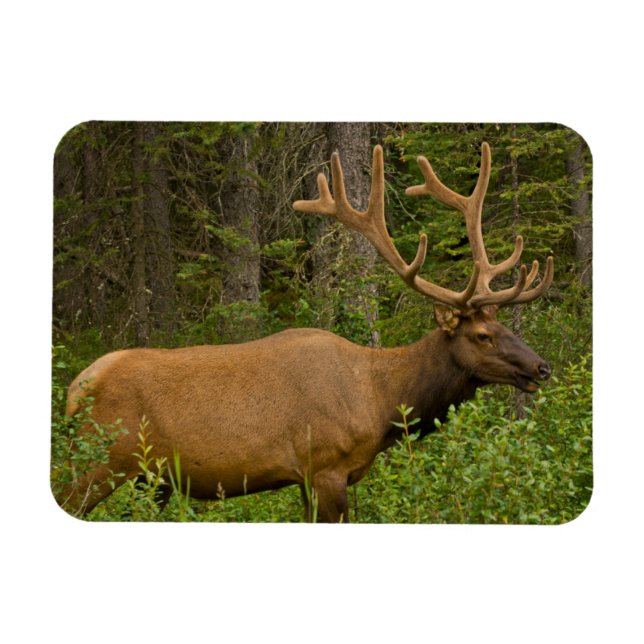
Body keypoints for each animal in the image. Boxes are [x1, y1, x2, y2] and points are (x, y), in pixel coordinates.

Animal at [59, 142, 554, 522]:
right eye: (482, 335)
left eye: (502, 325)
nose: (542, 368)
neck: (382, 401)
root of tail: (75, 388)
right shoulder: (326, 467)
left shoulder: (308, 479)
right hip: (97, 463)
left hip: (148, 477)